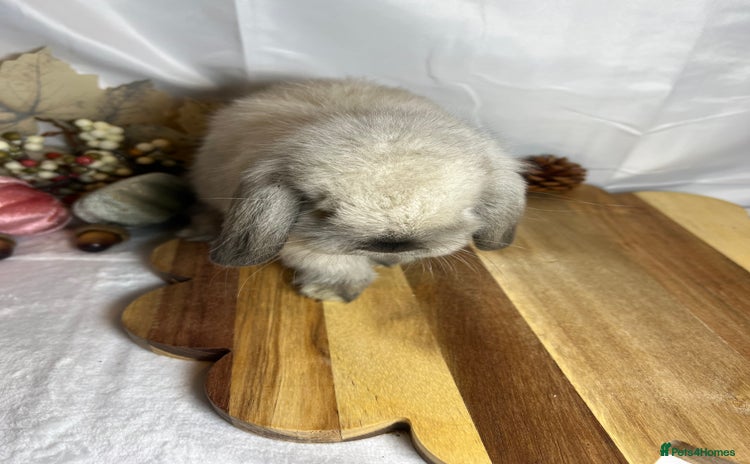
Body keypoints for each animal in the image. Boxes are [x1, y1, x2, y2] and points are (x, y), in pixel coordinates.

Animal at [187, 78, 526, 302]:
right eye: (323, 210)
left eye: (464, 211)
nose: (393, 244)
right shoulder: (302, 244)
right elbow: (332, 262)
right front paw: (337, 293)